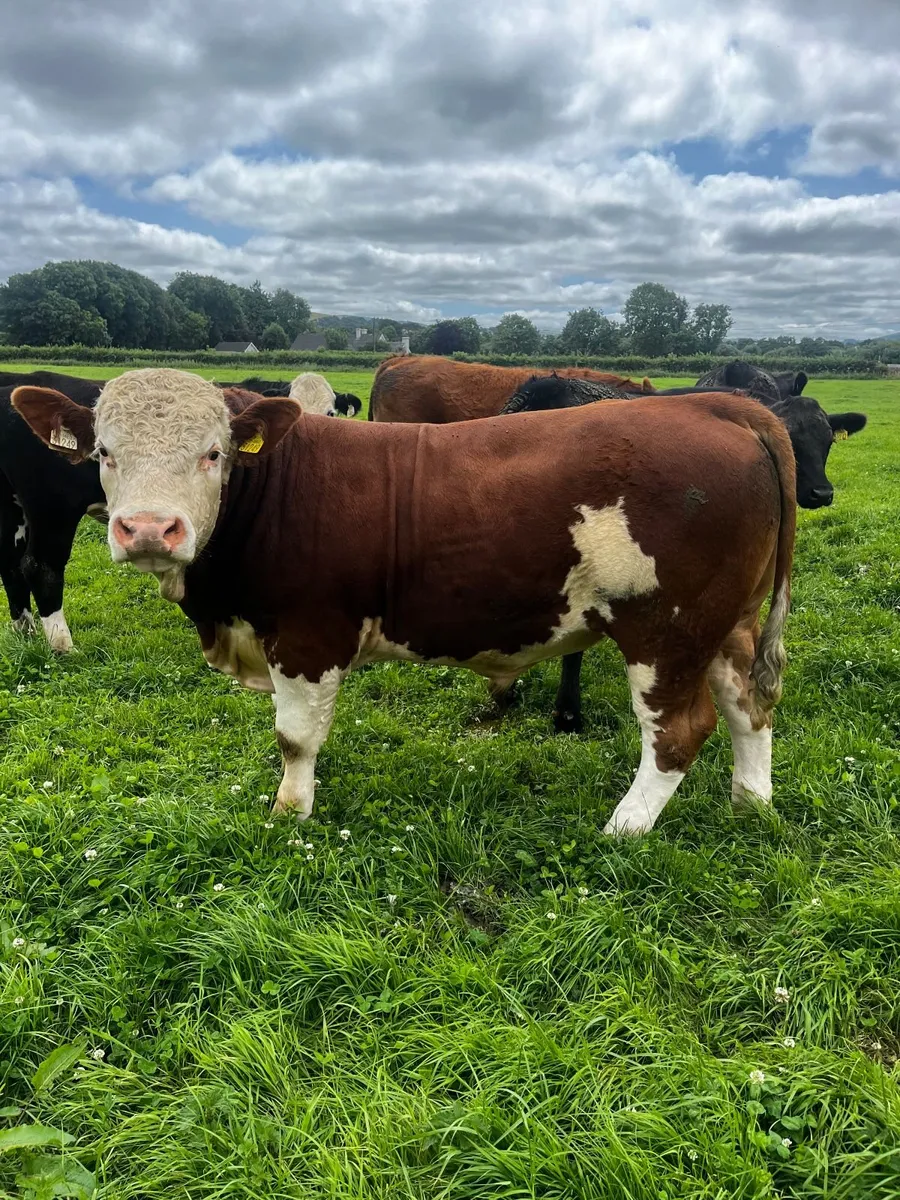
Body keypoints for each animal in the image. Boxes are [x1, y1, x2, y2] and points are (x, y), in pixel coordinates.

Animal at [12, 368, 795, 836]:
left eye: (214, 452)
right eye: (104, 452)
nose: (148, 529)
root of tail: (719, 405)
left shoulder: (307, 636)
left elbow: (296, 738)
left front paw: (290, 812)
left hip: (669, 629)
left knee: (678, 731)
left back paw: (625, 828)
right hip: (727, 622)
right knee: (748, 705)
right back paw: (751, 804)